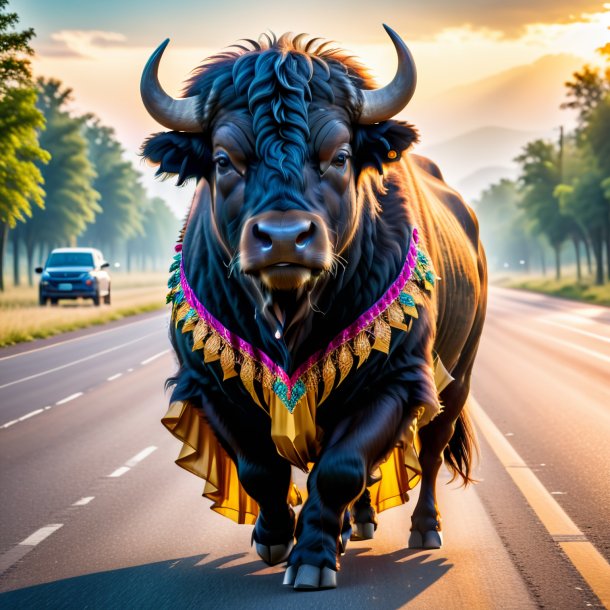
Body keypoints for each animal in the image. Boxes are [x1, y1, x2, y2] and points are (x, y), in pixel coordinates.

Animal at [141, 25, 484, 588]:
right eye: (223, 160)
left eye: (340, 156)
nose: (284, 238)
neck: (289, 313)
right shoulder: (209, 384)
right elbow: (260, 468)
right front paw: (275, 536)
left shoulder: (395, 378)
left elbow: (342, 467)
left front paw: (313, 558)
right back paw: (357, 523)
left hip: (459, 377)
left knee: (432, 452)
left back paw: (423, 529)